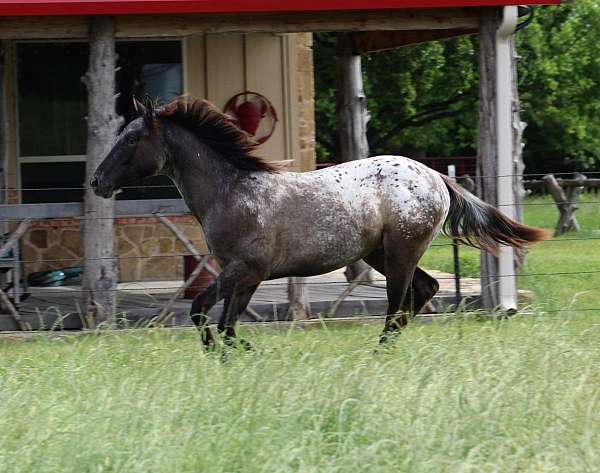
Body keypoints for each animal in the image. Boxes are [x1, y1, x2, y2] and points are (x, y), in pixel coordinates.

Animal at [92, 97, 548, 346]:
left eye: (131, 138)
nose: (97, 181)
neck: (233, 192)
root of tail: (437, 177)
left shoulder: (245, 269)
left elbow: (203, 311)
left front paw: (227, 354)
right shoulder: (246, 276)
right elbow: (227, 324)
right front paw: (240, 355)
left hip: (401, 251)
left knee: (399, 305)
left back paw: (380, 354)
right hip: (381, 254)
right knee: (424, 291)